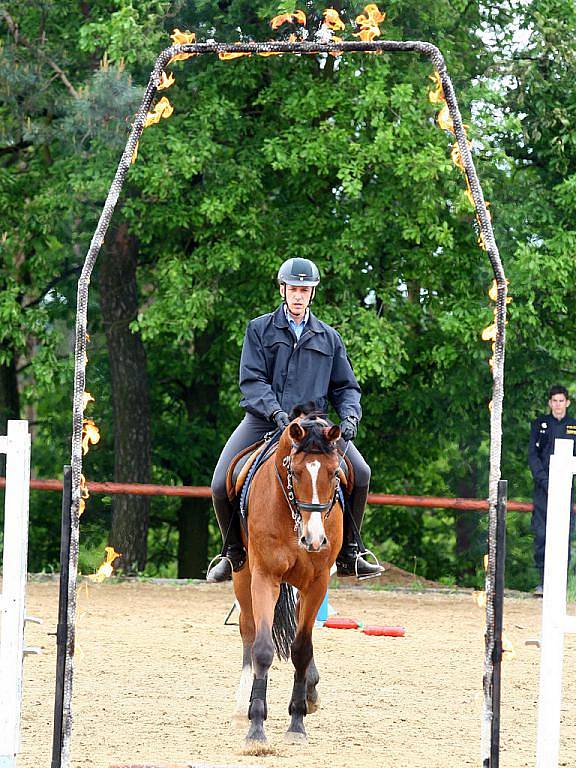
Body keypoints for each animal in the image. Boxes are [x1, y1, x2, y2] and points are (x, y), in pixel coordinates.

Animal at [231, 416, 346, 748]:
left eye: (334, 473)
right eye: (294, 472)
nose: (315, 539)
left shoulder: (317, 583)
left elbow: (302, 649)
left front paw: (297, 721)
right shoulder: (264, 577)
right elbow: (262, 648)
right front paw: (256, 728)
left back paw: (310, 691)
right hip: (242, 576)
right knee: (248, 630)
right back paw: (243, 702)